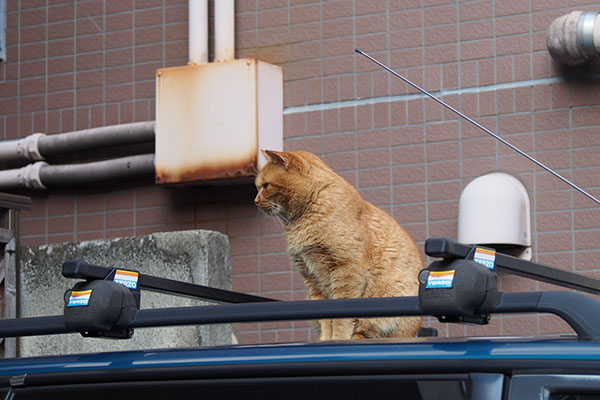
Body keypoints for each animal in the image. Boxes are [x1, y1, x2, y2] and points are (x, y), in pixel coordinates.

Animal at [255, 150, 424, 340]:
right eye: (257, 187)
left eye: (265, 186)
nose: (255, 200)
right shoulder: (312, 278)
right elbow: (326, 318)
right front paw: (325, 340)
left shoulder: (346, 271)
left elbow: (342, 315)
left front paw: (339, 338)